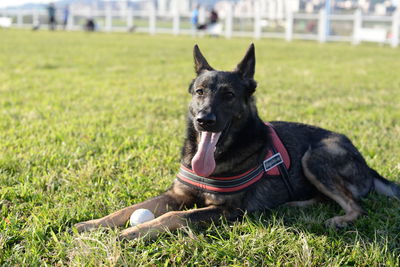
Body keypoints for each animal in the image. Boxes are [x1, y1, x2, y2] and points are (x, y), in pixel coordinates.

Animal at [75, 43, 400, 241]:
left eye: (229, 95)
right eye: (200, 92)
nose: (204, 120)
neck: (219, 157)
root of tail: (365, 163)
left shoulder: (227, 211)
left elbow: (175, 216)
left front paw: (133, 233)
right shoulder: (176, 194)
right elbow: (129, 209)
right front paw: (93, 224)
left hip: (316, 156)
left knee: (357, 207)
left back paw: (338, 219)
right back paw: (296, 204)